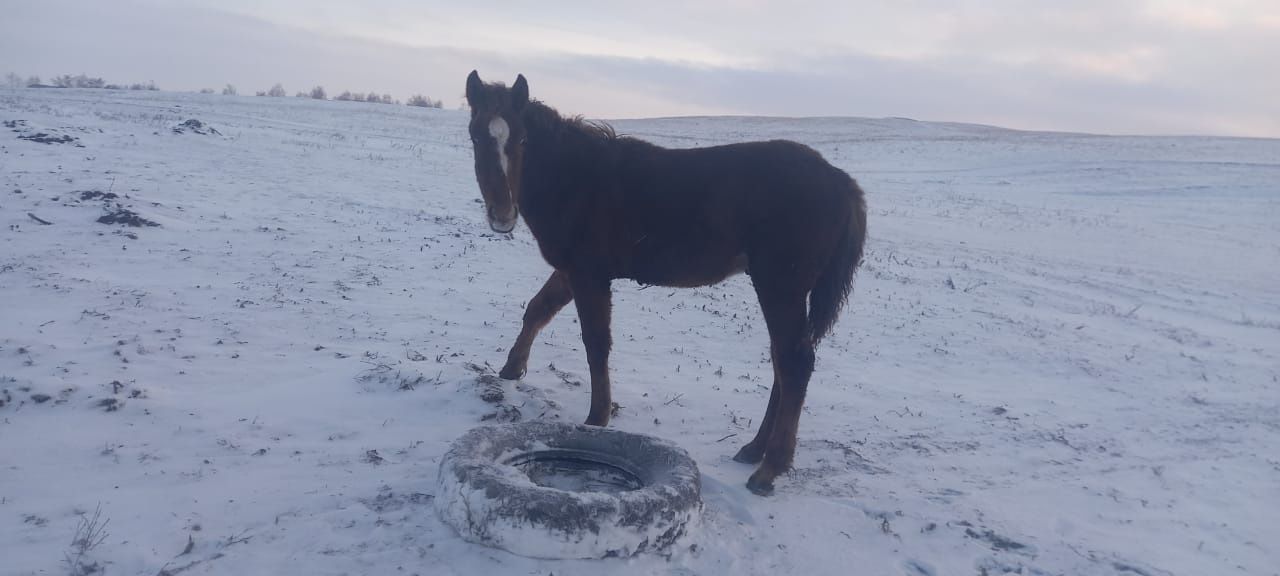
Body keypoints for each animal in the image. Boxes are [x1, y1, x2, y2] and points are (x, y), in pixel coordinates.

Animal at [463, 70, 870, 494]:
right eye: (476, 136)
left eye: (522, 139)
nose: (503, 215)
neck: (578, 181)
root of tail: (842, 183)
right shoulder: (570, 271)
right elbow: (537, 310)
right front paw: (511, 370)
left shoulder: (589, 275)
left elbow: (596, 344)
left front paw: (597, 419)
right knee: (782, 361)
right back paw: (754, 449)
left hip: (780, 287)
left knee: (794, 364)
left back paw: (769, 469)